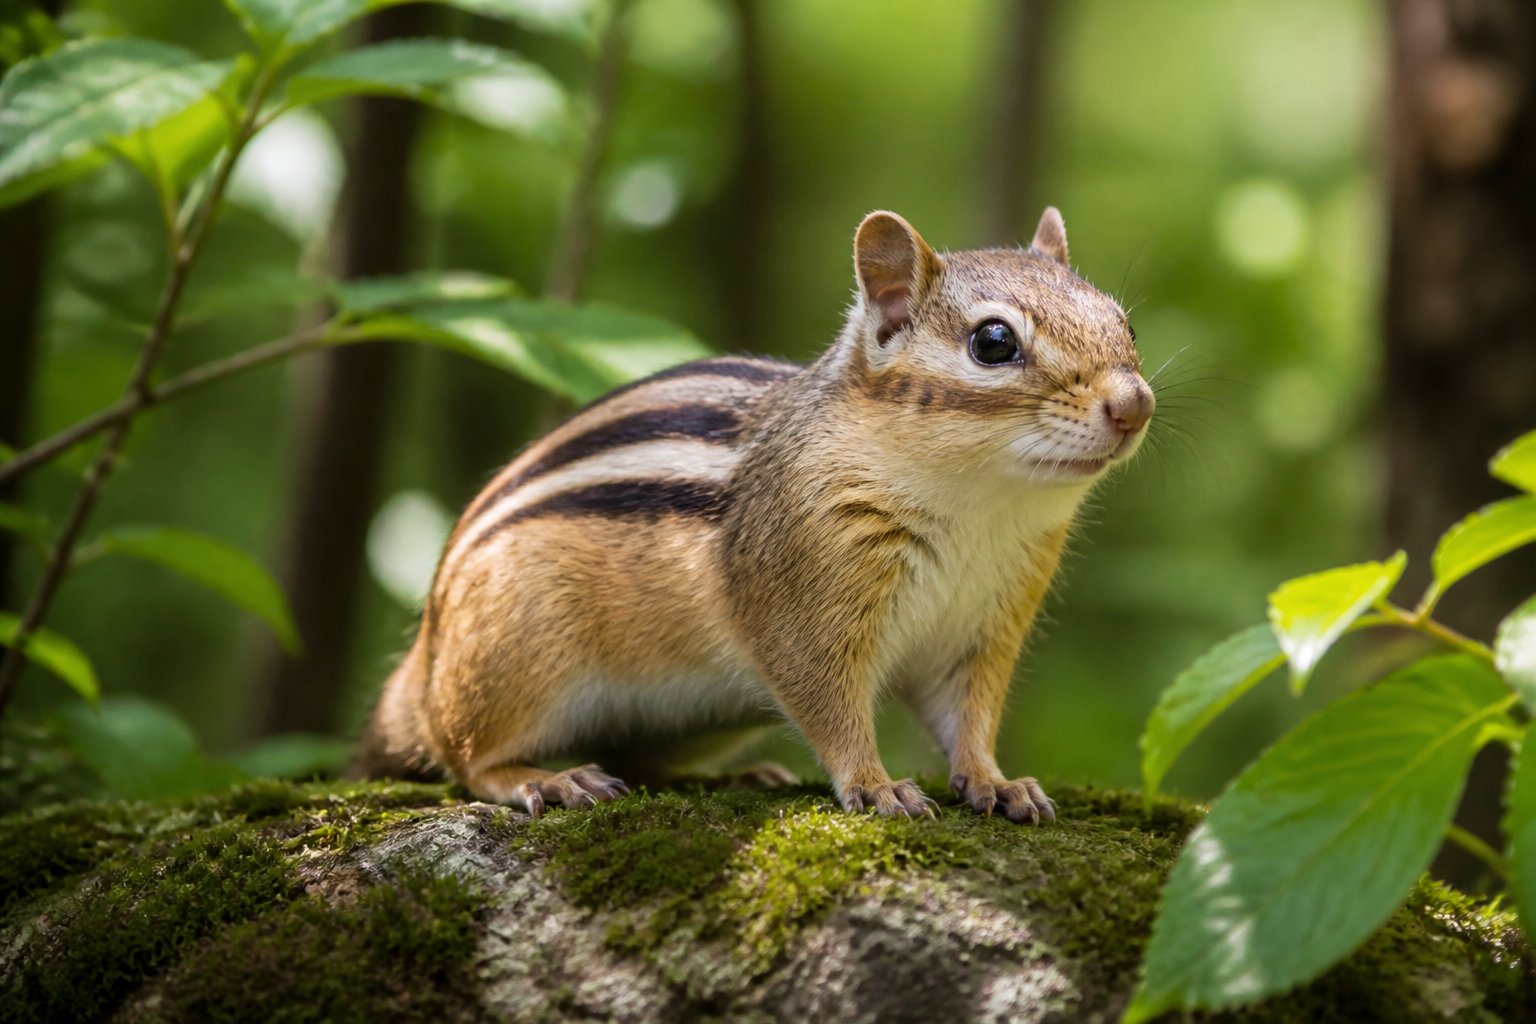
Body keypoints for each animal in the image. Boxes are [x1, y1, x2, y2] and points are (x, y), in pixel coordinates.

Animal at [355, 207, 1154, 823]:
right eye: (994, 342)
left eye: (1125, 325)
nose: (1135, 404)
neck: (978, 512)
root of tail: (424, 656)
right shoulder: (804, 608)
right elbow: (831, 708)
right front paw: (875, 786)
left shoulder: (982, 630)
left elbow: (971, 720)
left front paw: (995, 781)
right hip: (515, 659)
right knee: (466, 755)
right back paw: (545, 779)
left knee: (638, 757)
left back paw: (733, 774)